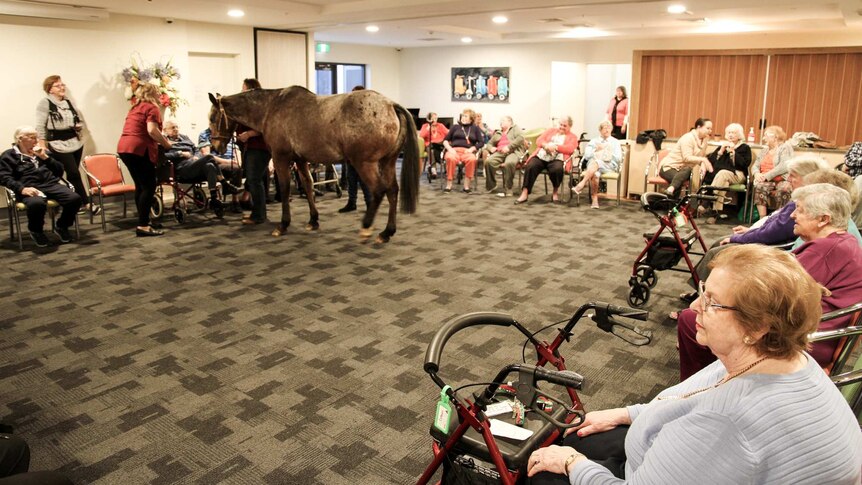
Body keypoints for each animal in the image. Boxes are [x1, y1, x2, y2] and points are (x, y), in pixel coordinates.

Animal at [208, 86, 420, 242]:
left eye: (212, 118)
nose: (216, 147)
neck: (272, 107)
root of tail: (390, 105)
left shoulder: (281, 158)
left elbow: (284, 189)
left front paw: (283, 225)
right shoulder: (300, 160)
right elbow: (309, 186)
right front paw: (313, 220)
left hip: (365, 163)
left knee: (378, 191)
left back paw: (367, 226)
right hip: (387, 162)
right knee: (392, 191)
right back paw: (386, 232)